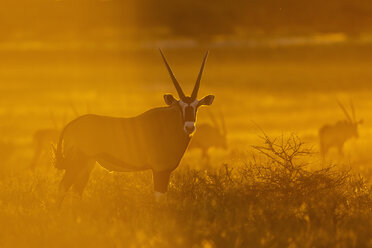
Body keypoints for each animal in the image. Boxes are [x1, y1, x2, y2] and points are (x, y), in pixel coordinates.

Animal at [53, 49, 214, 202]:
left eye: (197, 106)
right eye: (180, 106)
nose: (189, 127)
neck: (169, 124)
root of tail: (72, 124)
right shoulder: (160, 170)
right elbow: (159, 199)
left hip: (87, 164)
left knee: (77, 191)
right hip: (78, 162)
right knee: (62, 188)